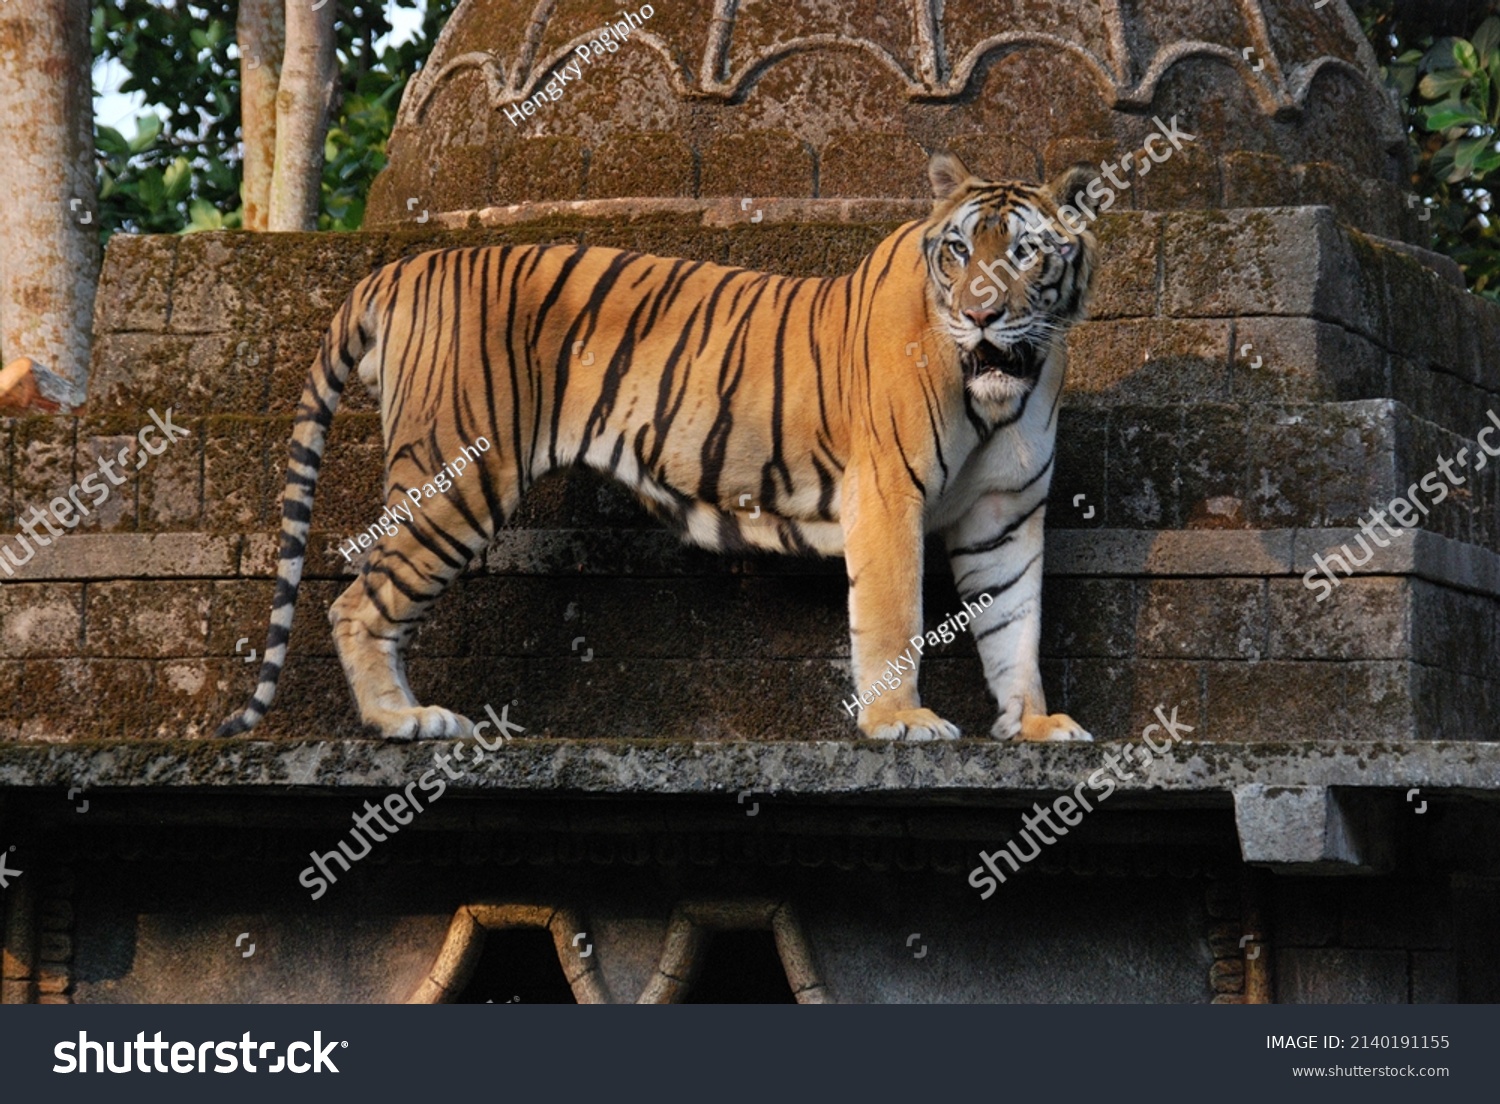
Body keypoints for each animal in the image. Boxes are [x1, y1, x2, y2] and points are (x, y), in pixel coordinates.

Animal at [217, 153, 1098, 741]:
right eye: (959, 251)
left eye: (1024, 251)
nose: (980, 315)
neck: (1006, 387)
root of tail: (401, 268)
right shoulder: (887, 494)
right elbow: (891, 615)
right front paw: (900, 722)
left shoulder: (1004, 515)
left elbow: (1015, 625)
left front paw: (1034, 726)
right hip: (455, 476)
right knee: (356, 602)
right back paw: (403, 720)